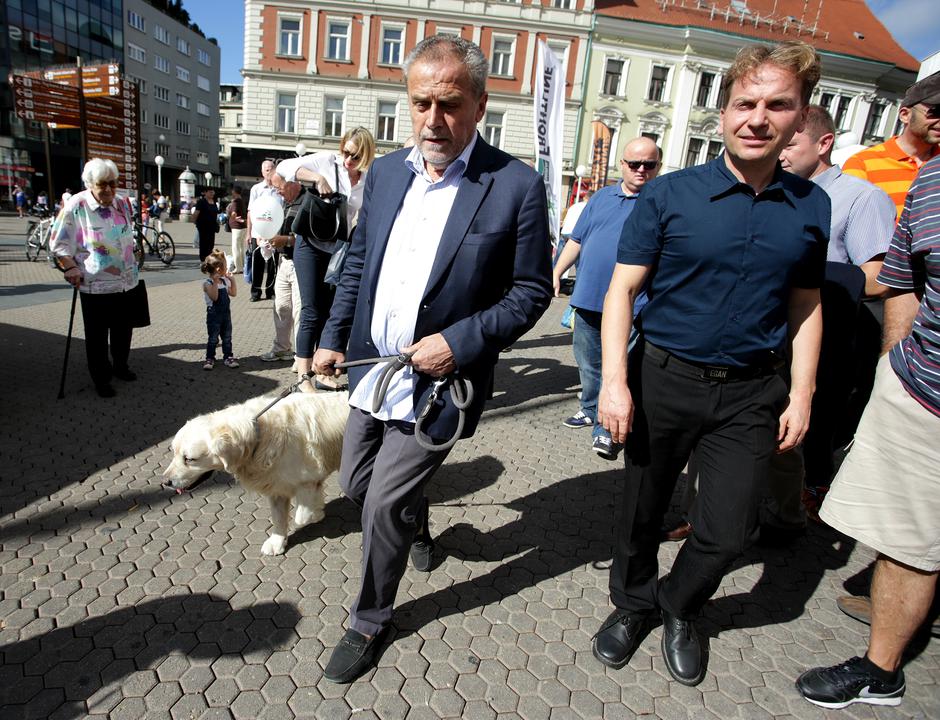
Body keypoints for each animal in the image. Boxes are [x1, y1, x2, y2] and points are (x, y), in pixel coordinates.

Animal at [163, 390, 350, 556]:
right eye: (174, 452)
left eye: (189, 459)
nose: (165, 482)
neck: (259, 434)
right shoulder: (275, 485)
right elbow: (278, 517)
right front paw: (277, 541)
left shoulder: (308, 479)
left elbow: (302, 517)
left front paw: (317, 512)